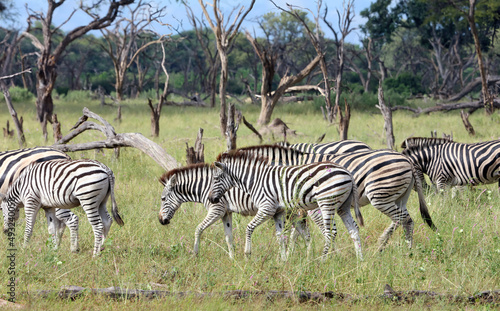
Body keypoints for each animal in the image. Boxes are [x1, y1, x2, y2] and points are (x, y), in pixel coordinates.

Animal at [158, 165, 326, 260]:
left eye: (163, 198)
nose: (161, 221)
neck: (205, 187)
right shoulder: (226, 213)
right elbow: (228, 237)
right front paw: (232, 259)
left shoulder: (217, 210)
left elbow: (198, 229)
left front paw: (195, 254)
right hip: (293, 212)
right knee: (303, 233)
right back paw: (305, 258)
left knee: (322, 228)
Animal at [207, 151, 364, 260]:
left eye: (216, 178)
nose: (211, 199)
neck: (255, 180)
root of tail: (347, 172)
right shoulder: (278, 212)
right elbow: (280, 236)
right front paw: (283, 260)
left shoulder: (267, 208)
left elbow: (249, 228)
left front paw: (247, 254)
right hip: (343, 206)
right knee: (354, 230)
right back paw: (360, 261)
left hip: (327, 202)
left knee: (330, 232)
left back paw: (323, 260)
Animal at [236, 145, 436, 252]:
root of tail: (406, 158)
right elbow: (297, 231)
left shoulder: (313, 206)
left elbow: (316, 230)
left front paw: (327, 253)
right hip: (400, 195)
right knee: (401, 219)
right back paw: (385, 246)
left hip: (380, 195)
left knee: (403, 219)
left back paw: (402, 249)